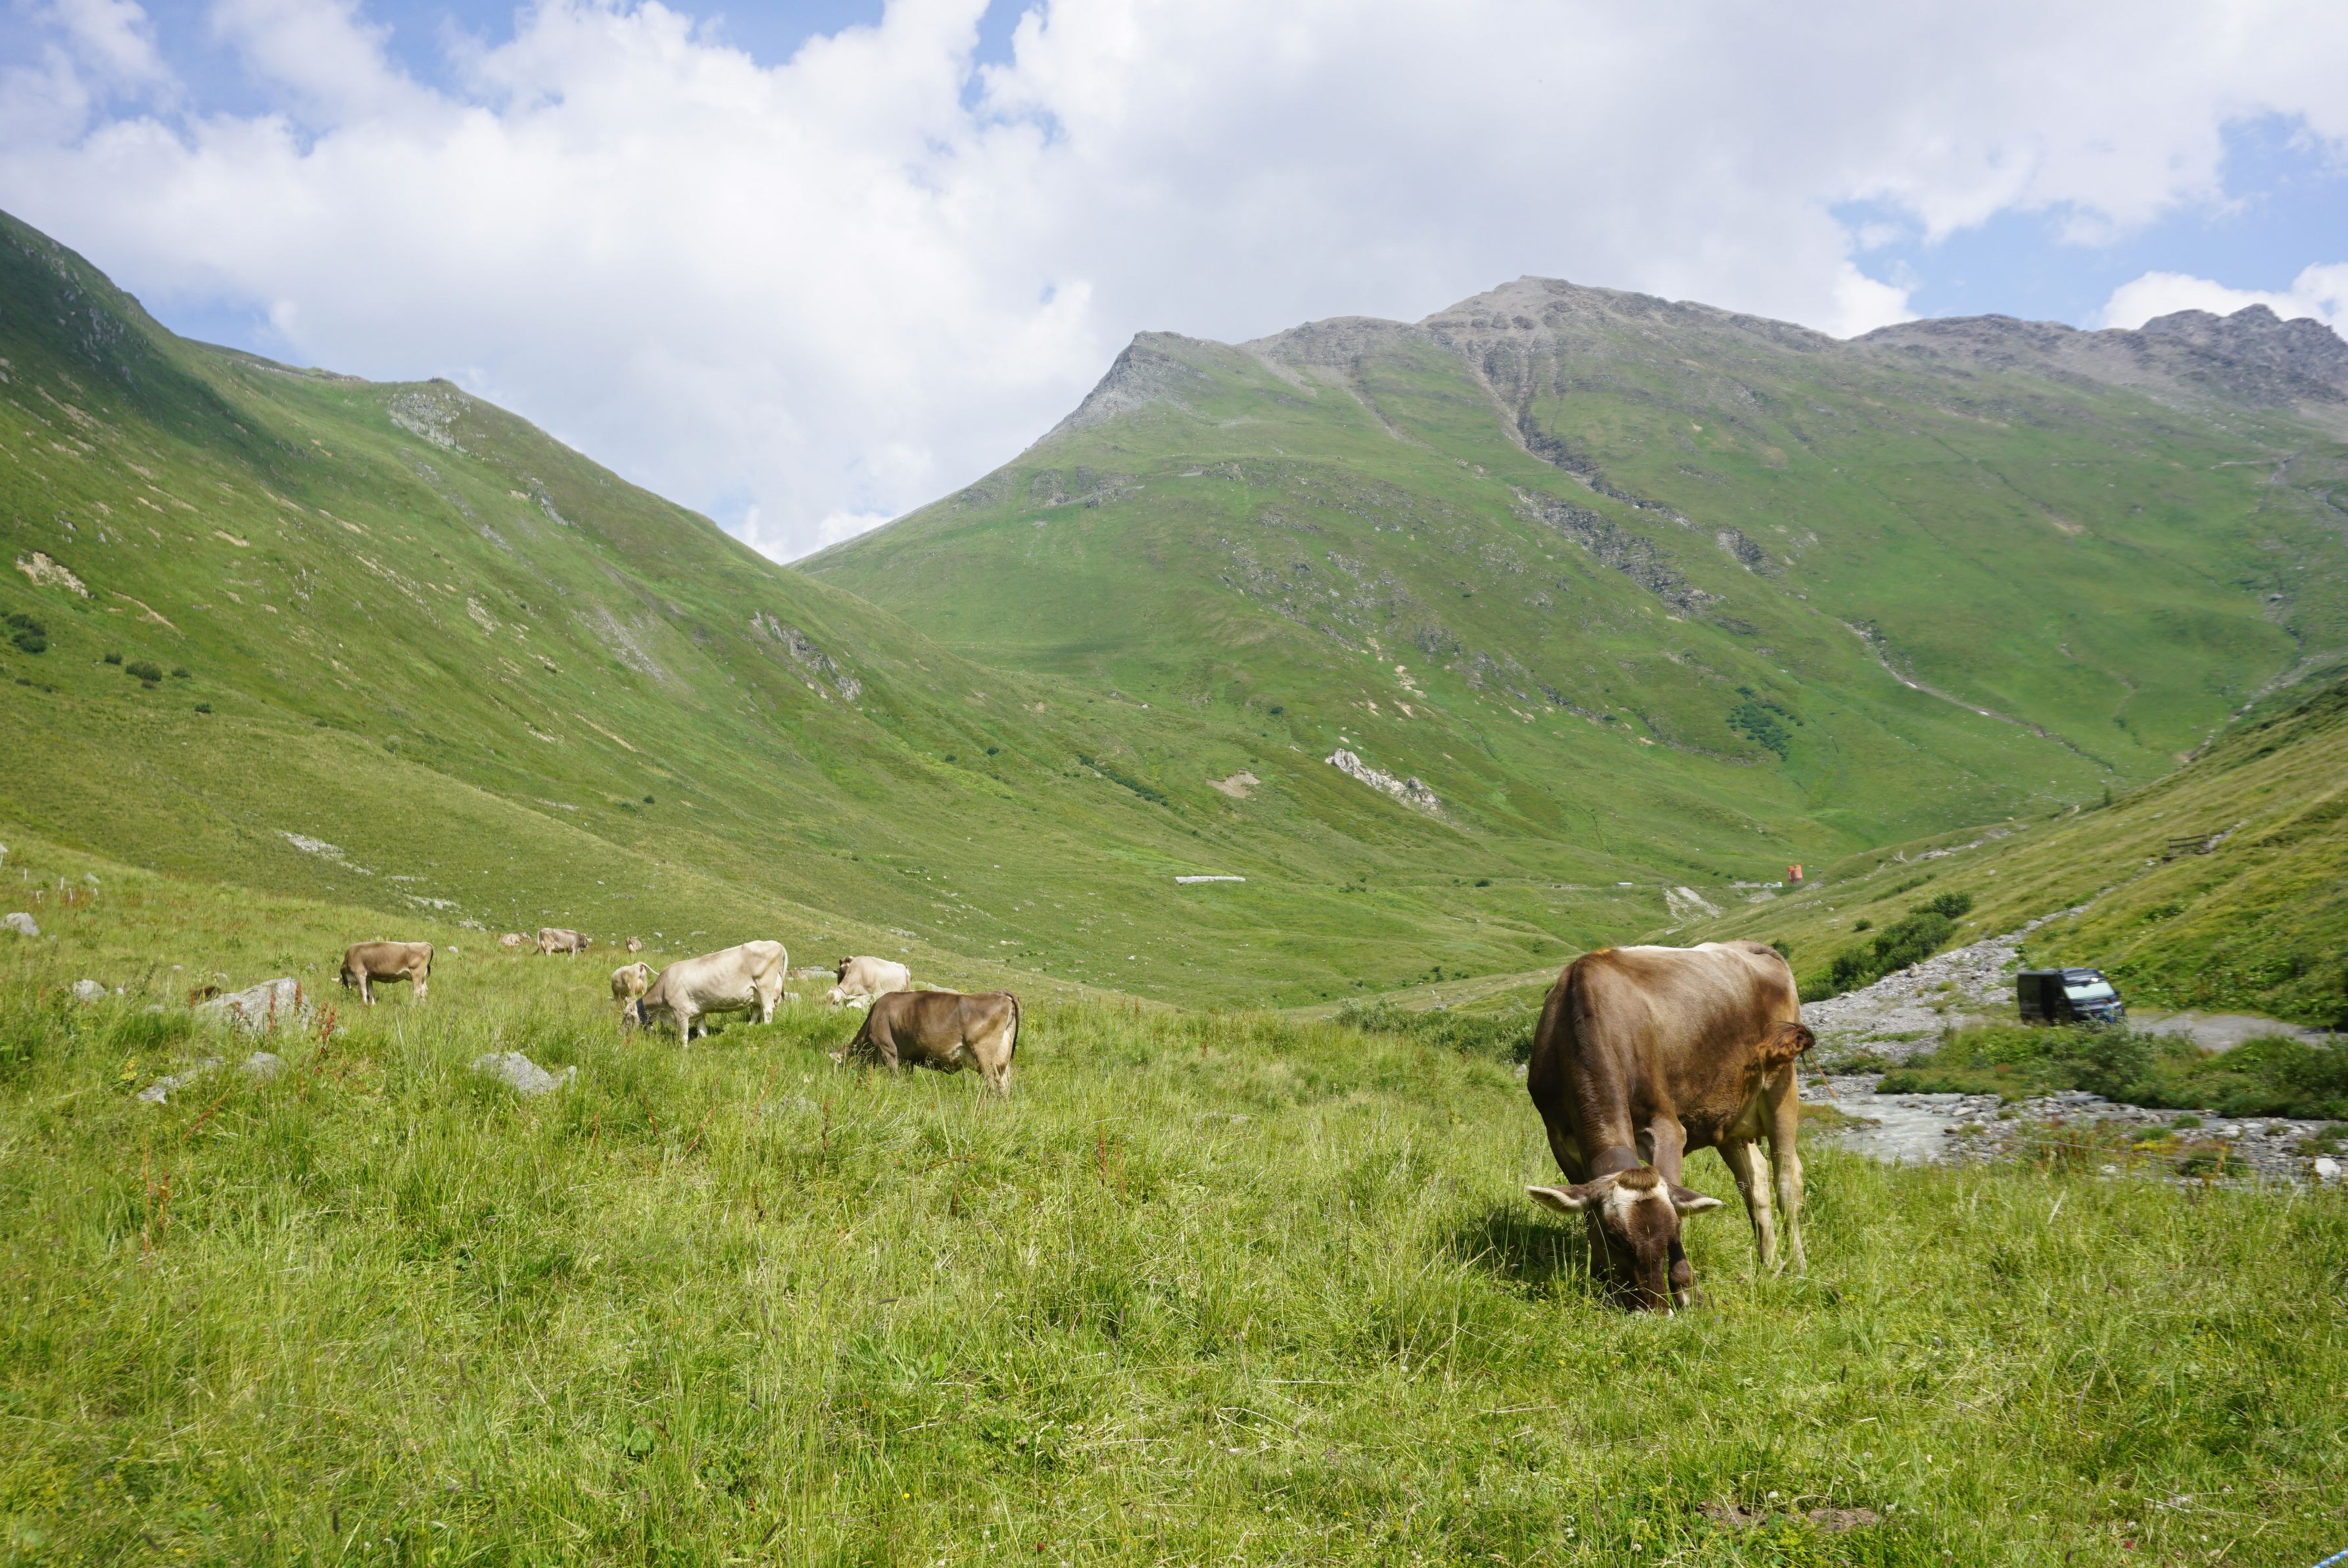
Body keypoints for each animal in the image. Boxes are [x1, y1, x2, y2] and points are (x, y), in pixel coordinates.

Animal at [339, 940, 434, 1006]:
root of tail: (424, 944)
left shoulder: (360, 973)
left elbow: (363, 990)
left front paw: (365, 1004)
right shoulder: (368, 977)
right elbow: (371, 991)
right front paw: (373, 1005)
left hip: (416, 974)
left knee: (417, 991)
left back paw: (413, 1006)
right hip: (422, 977)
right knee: (424, 990)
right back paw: (423, 1006)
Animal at [627, 940, 787, 1042]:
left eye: (626, 1016)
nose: (622, 1034)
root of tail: (776, 944)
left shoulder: (680, 1012)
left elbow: (683, 1037)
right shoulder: (698, 1012)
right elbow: (702, 1031)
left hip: (765, 987)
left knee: (767, 1010)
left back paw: (765, 1028)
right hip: (755, 994)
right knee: (756, 1011)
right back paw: (749, 1027)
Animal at [833, 989, 1019, 1096]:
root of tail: (1000, 995)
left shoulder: (889, 1051)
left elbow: (896, 1078)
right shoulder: (907, 1059)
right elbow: (907, 1080)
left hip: (984, 1056)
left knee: (992, 1085)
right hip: (1003, 1060)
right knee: (1005, 1085)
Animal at [1524, 941, 1813, 1313]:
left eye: (1674, 1230)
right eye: (1614, 1237)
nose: (1655, 1309)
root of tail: (1751, 947)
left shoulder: (1666, 1126)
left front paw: (1688, 1290)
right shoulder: (1559, 1139)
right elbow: (1588, 1217)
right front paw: (1608, 1284)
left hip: (1782, 1088)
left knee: (1787, 1181)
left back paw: (1799, 1267)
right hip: (1728, 1118)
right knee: (1755, 1184)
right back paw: (1768, 1264)